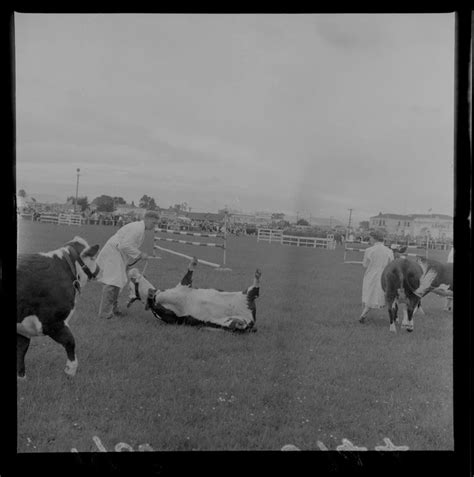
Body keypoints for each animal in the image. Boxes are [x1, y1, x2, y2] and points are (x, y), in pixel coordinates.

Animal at [128, 256, 262, 330]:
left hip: (245, 295)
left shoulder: (185, 284)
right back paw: (239, 323)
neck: (158, 294)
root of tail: (251, 317)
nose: (131, 271)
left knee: (254, 289)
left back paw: (257, 275)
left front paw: (193, 262)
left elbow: (189, 271)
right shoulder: (171, 315)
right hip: (233, 319)